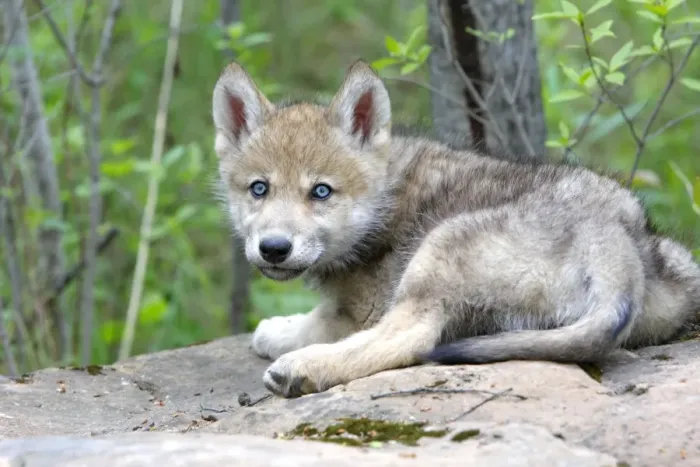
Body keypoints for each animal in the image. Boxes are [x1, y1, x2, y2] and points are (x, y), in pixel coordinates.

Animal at [211, 60, 700, 398]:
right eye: (259, 189)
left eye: (321, 192)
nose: (274, 248)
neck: (386, 195)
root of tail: (615, 237)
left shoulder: (362, 311)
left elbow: (314, 323)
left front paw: (276, 333)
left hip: (439, 247)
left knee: (408, 340)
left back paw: (300, 369)